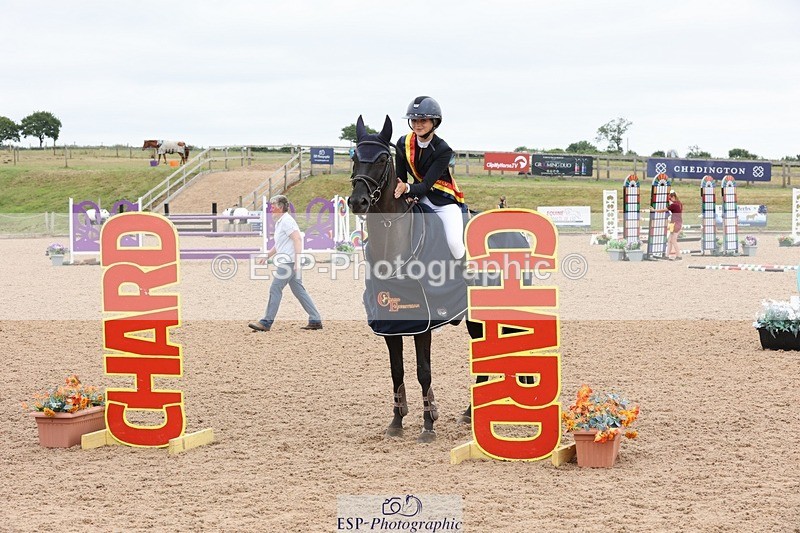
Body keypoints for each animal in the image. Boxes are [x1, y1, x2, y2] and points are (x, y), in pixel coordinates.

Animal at [348, 115, 532, 443]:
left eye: (382, 158)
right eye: (355, 156)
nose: (357, 201)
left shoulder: (423, 322)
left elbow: (424, 371)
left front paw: (428, 425)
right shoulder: (391, 322)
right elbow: (397, 371)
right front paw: (396, 422)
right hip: (476, 315)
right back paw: (470, 413)